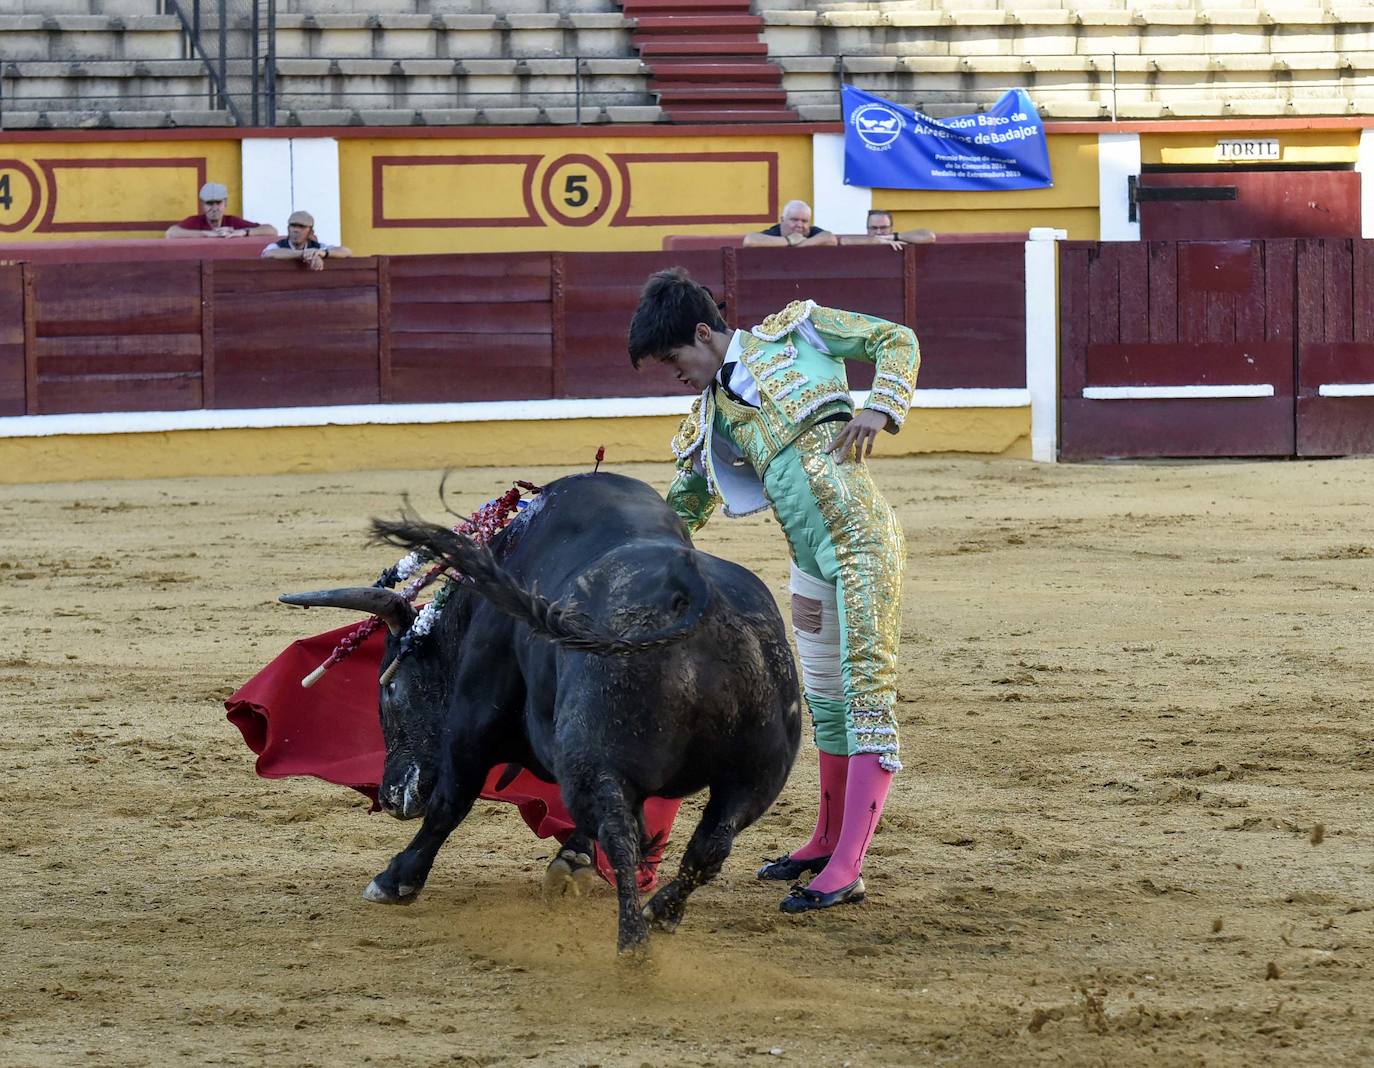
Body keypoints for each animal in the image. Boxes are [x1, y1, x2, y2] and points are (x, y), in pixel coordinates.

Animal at [283, 475, 802, 951]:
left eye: (389, 689)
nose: (389, 796)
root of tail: (693, 594)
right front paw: (571, 866)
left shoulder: (473, 717)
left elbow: (451, 802)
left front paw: (395, 880)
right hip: (755, 774)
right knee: (708, 845)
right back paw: (660, 913)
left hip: (596, 755)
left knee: (621, 832)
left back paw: (633, 944)